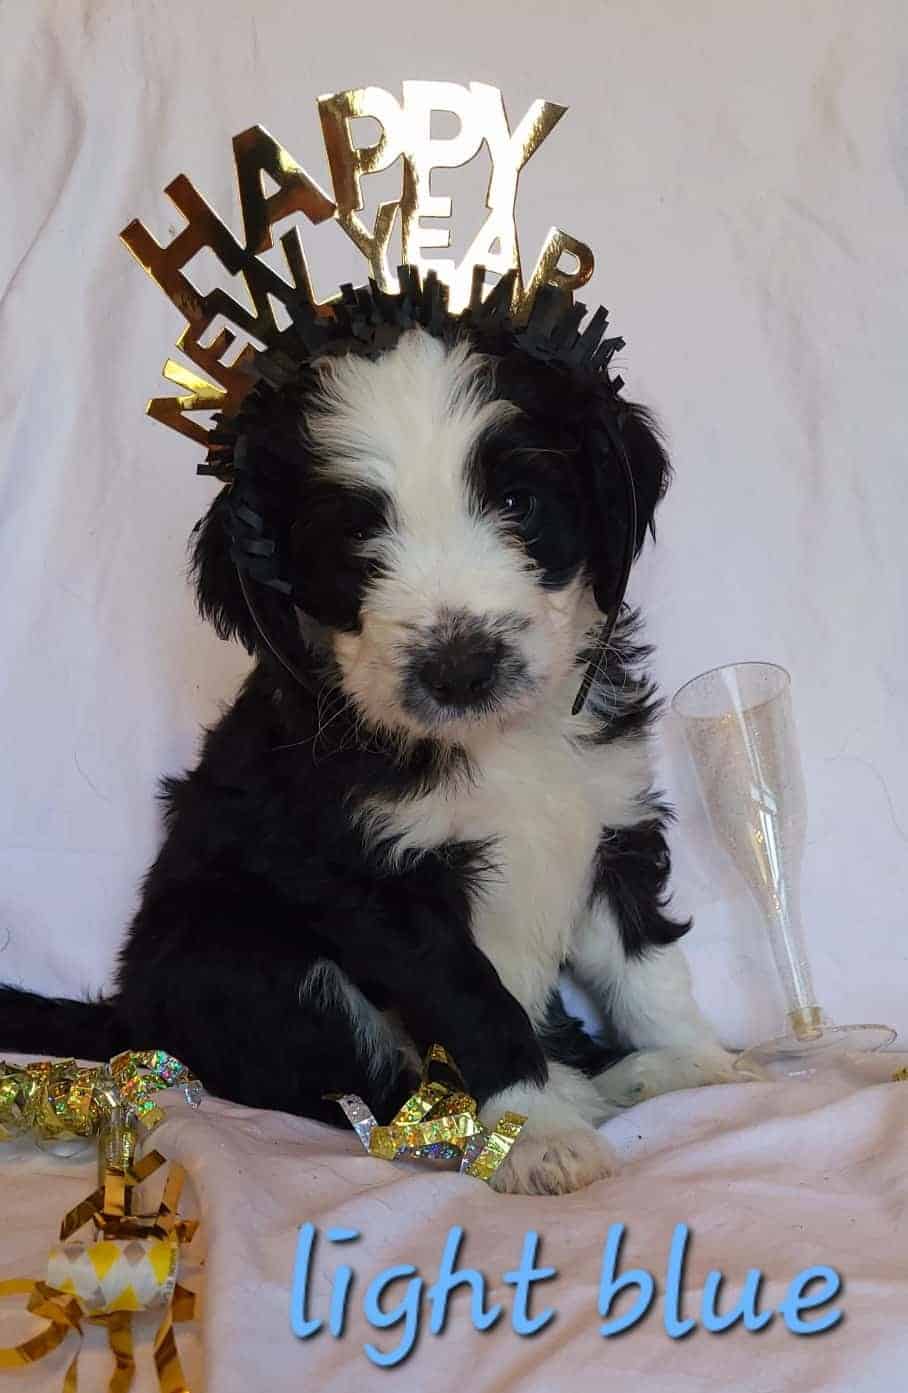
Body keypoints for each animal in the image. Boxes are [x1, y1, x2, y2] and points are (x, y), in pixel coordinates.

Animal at [0, 328, 735, 1197]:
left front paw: (693, 1058)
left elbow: (644, 957)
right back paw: (562, 1093)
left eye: (518, 505)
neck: (497, 742)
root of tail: (132, 1013)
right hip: (246, 958)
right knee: (356, 1081)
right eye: (355, 542)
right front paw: (533, 1132)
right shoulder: (377, 881)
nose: (461, 666)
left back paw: (616, 1072)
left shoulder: (608, 813)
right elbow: (474, 1002)